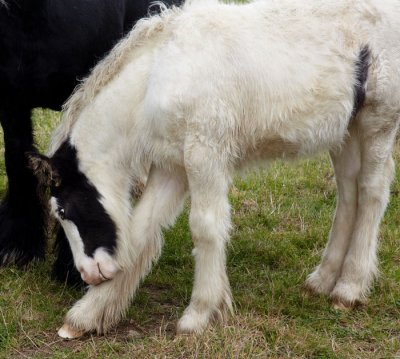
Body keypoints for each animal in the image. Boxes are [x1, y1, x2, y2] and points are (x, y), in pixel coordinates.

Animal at [28, 0, 400, 338]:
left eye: (65, 211)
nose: (90, 274)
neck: (158, 76)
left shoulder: (205, 154)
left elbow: (205, 228)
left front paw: (200, 314)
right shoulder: (171, 166)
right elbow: (140, 229)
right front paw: (87, 316)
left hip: (377, 122)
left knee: (371, 192)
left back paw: (349, 287)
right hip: (345, 131)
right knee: (348, 193)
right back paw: (323, 280)